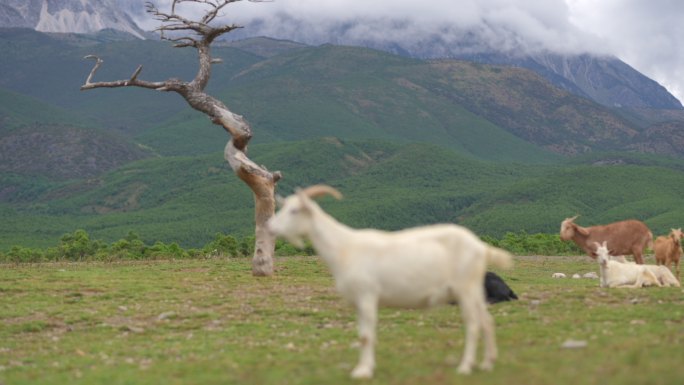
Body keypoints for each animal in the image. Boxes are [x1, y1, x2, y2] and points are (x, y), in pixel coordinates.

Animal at [268, 184, 512, 376]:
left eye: (294, 210)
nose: (270, 228)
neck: (345, 247)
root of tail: (480, 247)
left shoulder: (367, 295)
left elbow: (367, 336)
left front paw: (363, 371)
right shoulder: (358, 301)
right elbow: (363, 335)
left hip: (465, 289)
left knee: (473, 324)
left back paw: (465, 366)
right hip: (474, 290)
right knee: (487, 321)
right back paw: (487, 363)